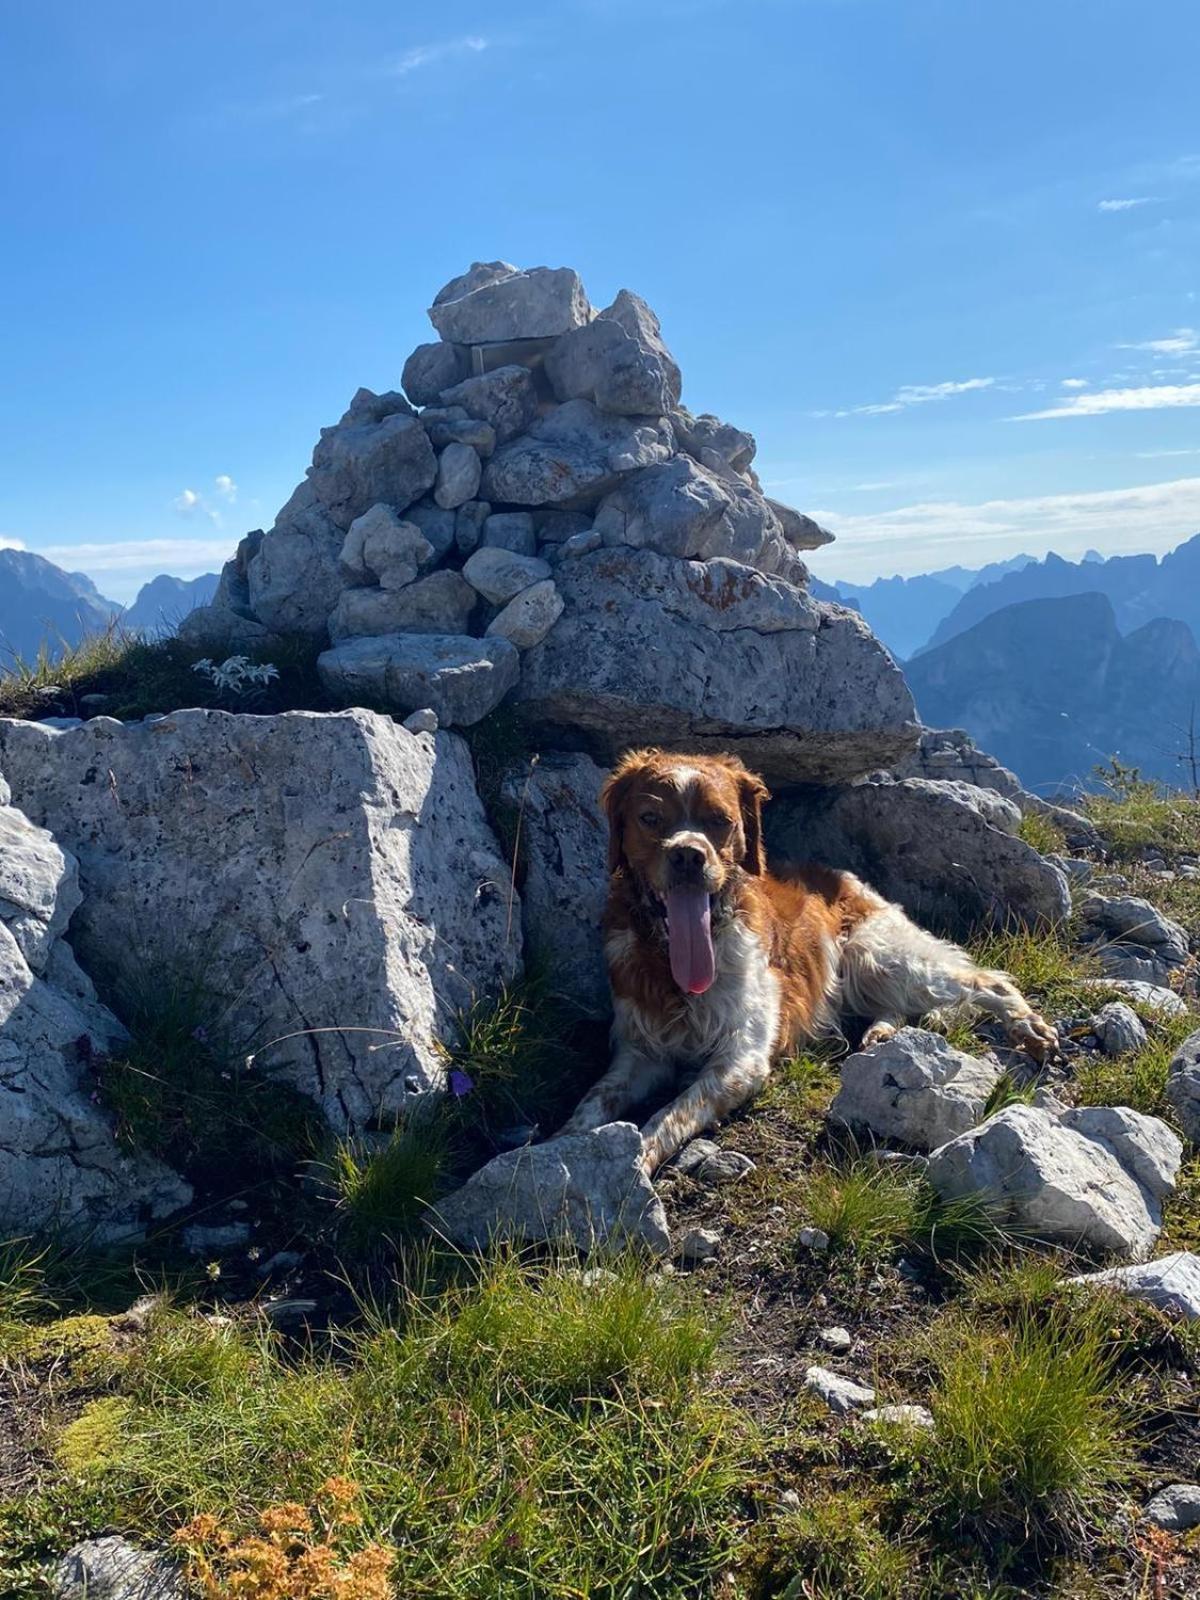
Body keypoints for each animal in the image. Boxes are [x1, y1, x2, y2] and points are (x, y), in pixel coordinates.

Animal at [560, 748, 1056, 1177]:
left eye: (719, 821)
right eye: (650, 818)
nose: (687, 856)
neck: (673, 967)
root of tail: (845, 878)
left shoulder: (740, 1059)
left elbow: (671, 1113)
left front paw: (635, 1162)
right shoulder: (639, 1052)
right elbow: (593, 1100)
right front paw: (564, 1149)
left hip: (878, 956)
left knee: (987, 981)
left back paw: (1027, 1026)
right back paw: (880, 1032)